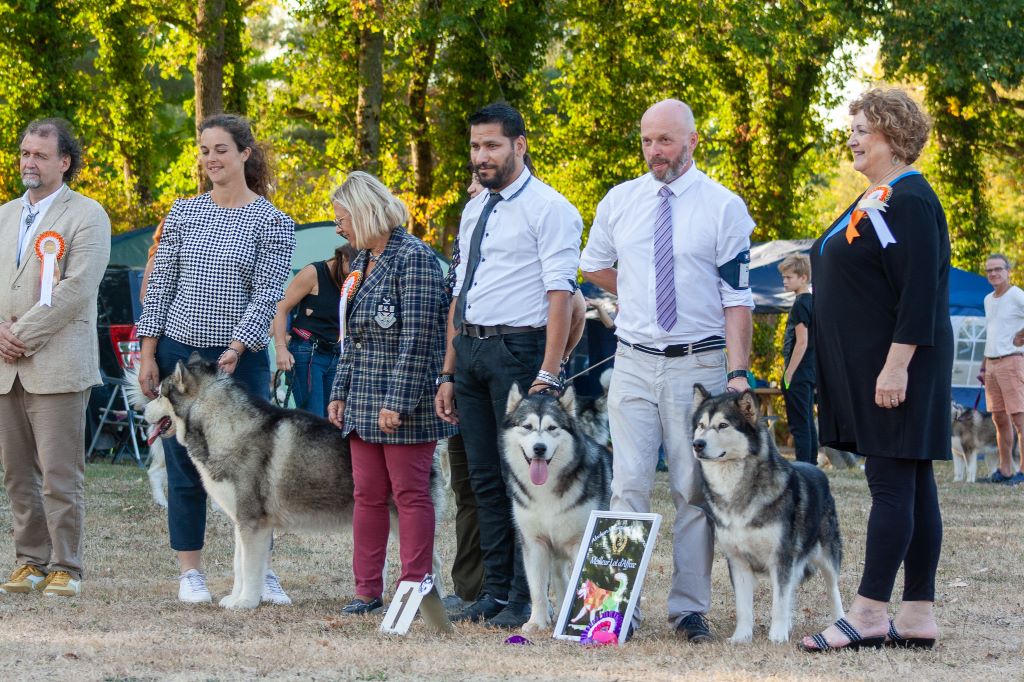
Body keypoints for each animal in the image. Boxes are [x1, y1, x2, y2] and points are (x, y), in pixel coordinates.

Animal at [128, 352, 444, 606]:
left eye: (160, 394)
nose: (141, 410)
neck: (226, 427)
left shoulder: (253, 523)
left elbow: (250, 567)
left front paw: (246, 603)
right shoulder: (243, 522)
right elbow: (240, 565)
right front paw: (236, 597)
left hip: (402, 518)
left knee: (434, 562)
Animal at [499, 385, 610, 630]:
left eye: (552, 428)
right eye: (527, 427)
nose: (539, 448)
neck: (546, 489)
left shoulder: (581, 542)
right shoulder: (534, 543)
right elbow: (537, 589)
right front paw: (536, 622)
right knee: (560, 578)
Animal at [692, 385, 843, 638]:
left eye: (723, 425)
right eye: (701, 425)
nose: (698, 444)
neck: (738, 489)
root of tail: (817, 469)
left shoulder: (782, 558)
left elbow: (779, 603)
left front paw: (777, 636)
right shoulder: (737, 560)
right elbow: (744, 607)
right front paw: (741, 637)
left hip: (828, 556)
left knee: (833, 590)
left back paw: (840, 621)